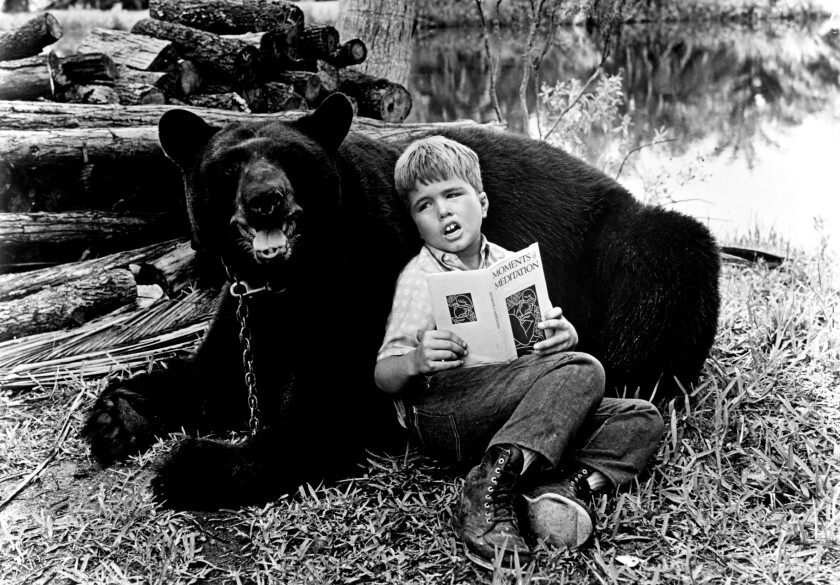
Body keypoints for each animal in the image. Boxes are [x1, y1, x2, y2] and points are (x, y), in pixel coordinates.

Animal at [82, 93, 720, 508]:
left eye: (292, 160)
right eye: (230, 165)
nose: (266, 199)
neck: (294, 276)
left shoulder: (361, 276)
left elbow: (325, 414)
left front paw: (192, 465)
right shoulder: (251, 302)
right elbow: (218, 376)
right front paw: (118, 414)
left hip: (632, 243)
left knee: (665, 273)